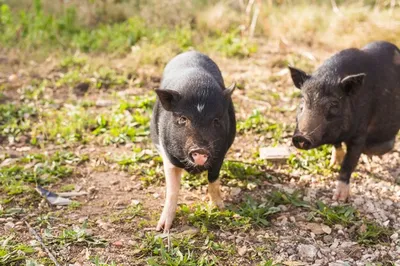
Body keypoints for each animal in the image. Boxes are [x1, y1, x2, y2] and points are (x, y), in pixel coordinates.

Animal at [151, 51, 238, 232]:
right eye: (183, 118)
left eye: (216, 120)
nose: (200, 149)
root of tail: (190, 52)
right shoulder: (168, 155)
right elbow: (172, 189)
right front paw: (162, 229)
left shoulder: (220, 153)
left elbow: (213, 180)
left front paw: (220, 209)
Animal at [290, 40, 400, 201]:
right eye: (303, 101)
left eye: (334, 104)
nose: (301, 136)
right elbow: (338, 147)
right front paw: (334, 164)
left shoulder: (361, 131)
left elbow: (349, 162)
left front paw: (339, 199)